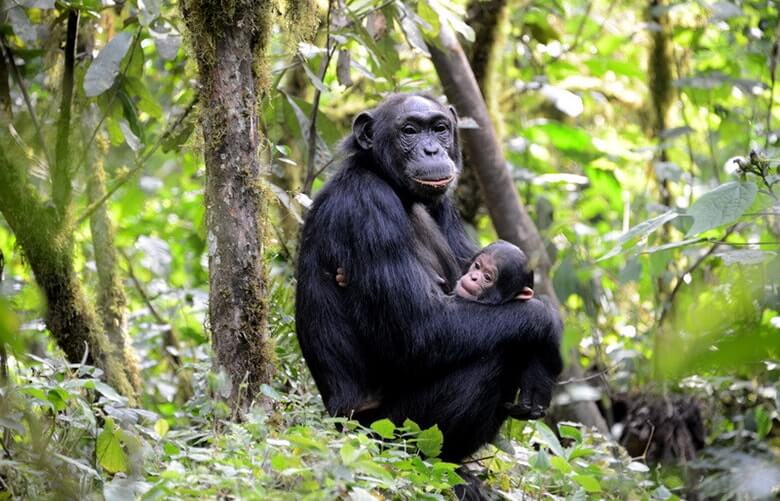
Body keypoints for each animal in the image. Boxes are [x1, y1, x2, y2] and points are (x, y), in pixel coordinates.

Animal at [294, 94, 560, 460]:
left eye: (439, 128)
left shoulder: (444, 204)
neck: (391, 184)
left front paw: (541, 370)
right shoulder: (368, 206)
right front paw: (547, 324)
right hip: (386, 431)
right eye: (409, 130)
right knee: (500, 349)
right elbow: (420, 329)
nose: (432, 150)